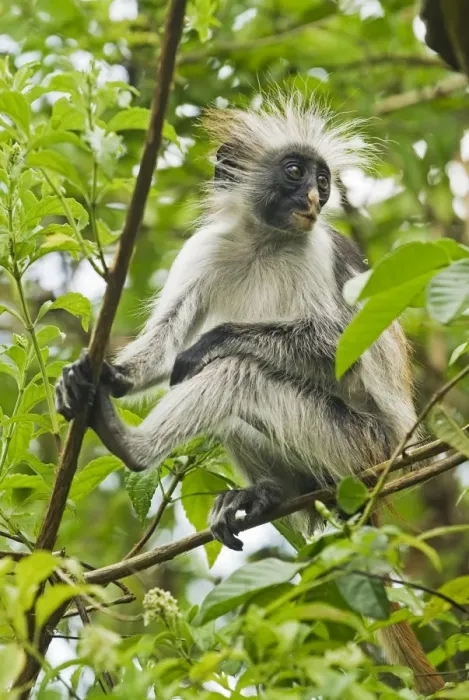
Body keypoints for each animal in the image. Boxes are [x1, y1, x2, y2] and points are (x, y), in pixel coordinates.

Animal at [56, 94, 443, 693]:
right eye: (295, 172)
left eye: (323, 181)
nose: (315, 197)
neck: (267, 238)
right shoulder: (207, 247)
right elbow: (164, 343)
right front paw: (99, 375)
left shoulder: (317, 250)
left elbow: (336, 349)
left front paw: (212, 341)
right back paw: (268, 493)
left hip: (360, 446)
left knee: (239, 372)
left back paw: (132, 444)